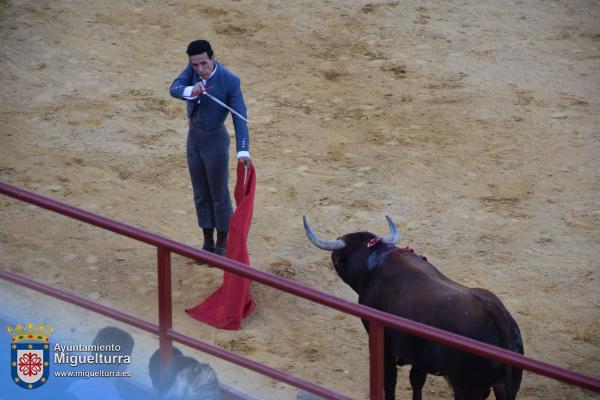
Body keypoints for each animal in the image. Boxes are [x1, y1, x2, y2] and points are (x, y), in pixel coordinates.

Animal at [302, 216, 524, 400]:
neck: (376, 264)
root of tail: (496, 314)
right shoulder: (420, 357)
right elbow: (417, 381)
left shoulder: (385, 346)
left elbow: (390, 380)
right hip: (507, 387)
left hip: (469, 389)